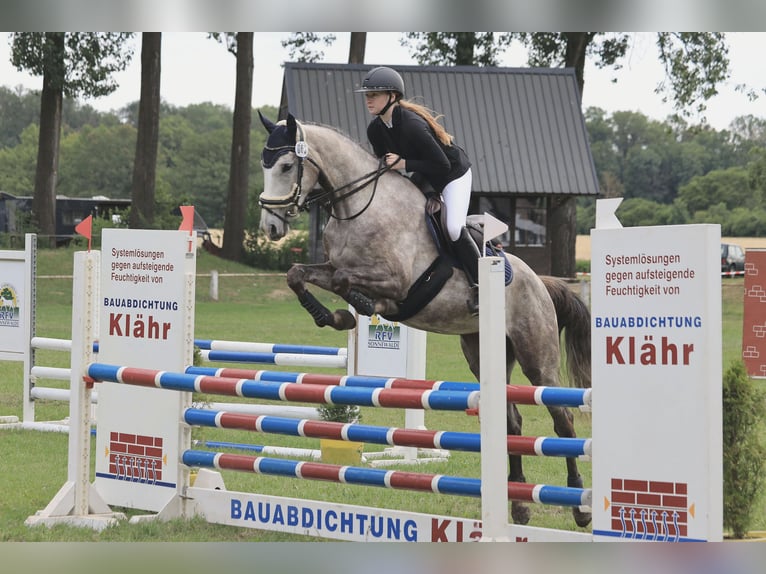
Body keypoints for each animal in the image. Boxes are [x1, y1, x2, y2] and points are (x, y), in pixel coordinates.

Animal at [258, 113, 592, 532]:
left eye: (287, 166)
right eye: (264, 165)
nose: (269, 227)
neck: (358, 205)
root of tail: (540, 282)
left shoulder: (396, 280)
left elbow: (348, 282)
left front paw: (357, 306)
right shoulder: (331, 266)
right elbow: (297, 274)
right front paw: (333, 316)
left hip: (537, 355)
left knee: (562, 420)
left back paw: (580, 506)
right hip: (483, 353)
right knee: (512, 421)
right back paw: (518, 505)